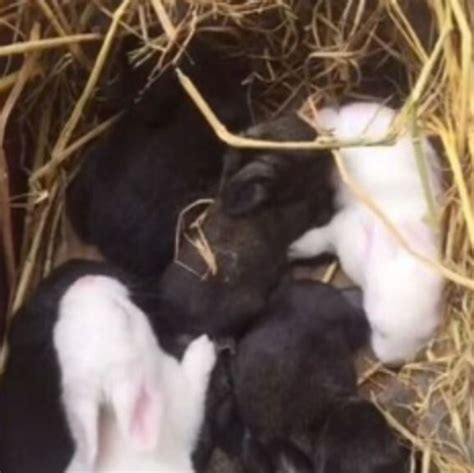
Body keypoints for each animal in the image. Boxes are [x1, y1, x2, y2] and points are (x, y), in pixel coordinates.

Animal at [54, 272, 216, 470]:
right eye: (124, 313)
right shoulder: (186, 407)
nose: (86, 281)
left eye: (60, 327)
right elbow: (195, 380)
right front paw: (203, 347)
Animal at [288, 101, 444, 364]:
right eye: (376, 327)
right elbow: (314, 241)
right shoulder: (340, 230)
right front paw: (292, 249)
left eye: (425, 336)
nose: (394, 362)